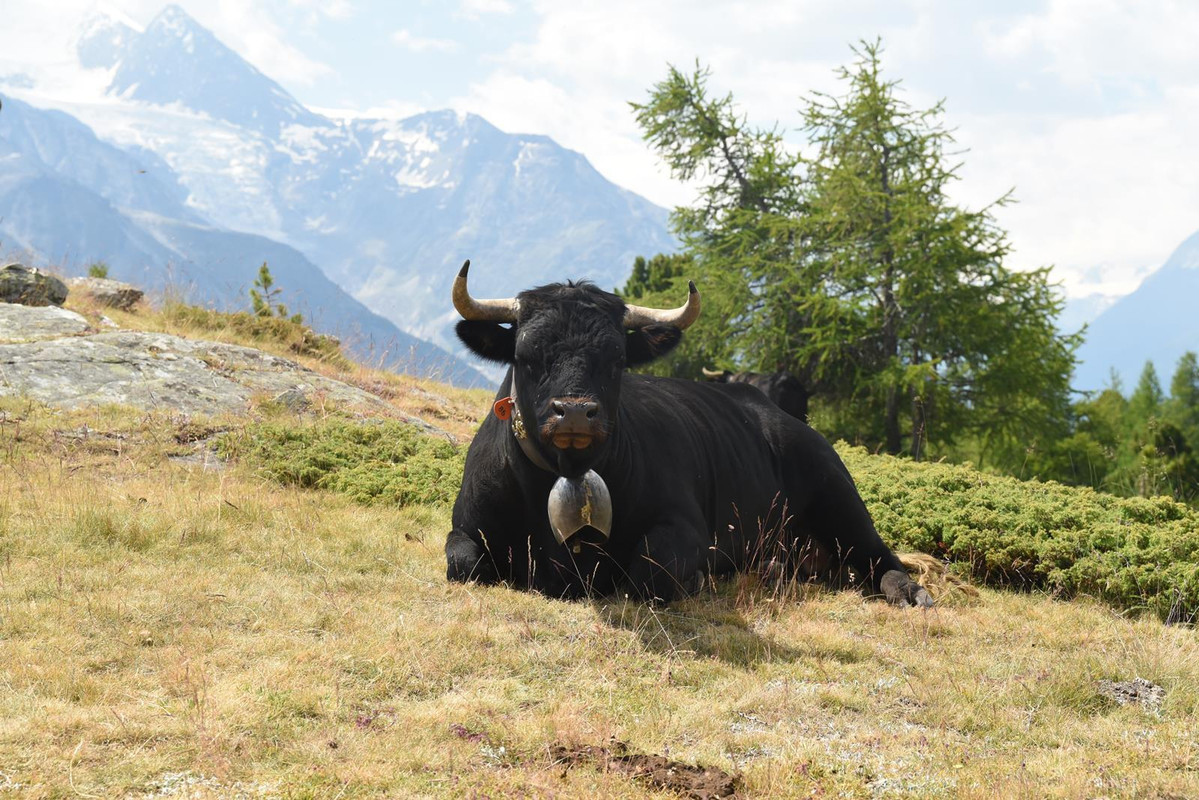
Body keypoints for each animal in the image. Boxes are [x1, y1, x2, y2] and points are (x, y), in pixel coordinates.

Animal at [446, 263, 930, 606]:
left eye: (617, 358)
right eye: (526, 354)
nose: (576, 413)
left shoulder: (684, 525)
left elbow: (651, 571)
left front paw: (695, 579)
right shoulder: (466, 527)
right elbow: (463, 562)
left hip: (838, 493)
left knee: (879, 555)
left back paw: (910, 592)